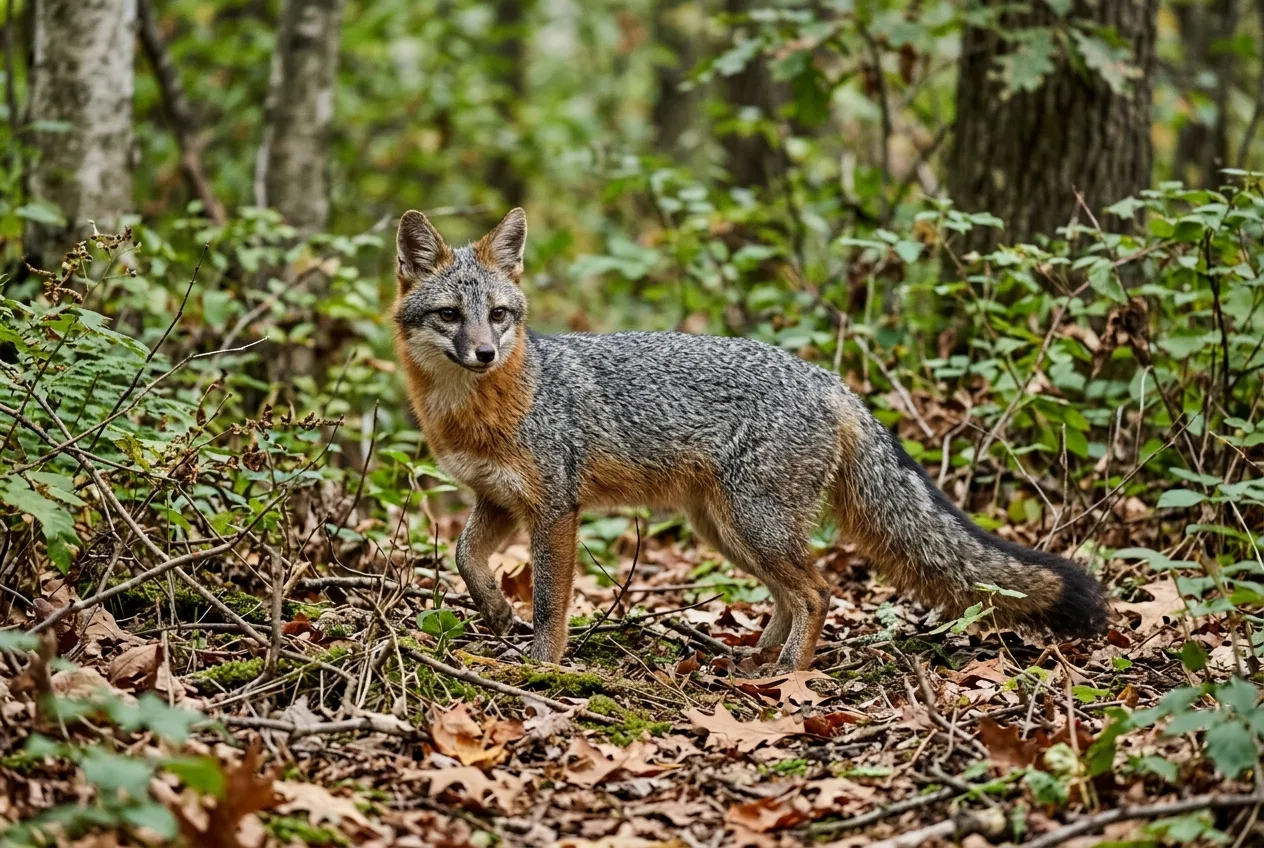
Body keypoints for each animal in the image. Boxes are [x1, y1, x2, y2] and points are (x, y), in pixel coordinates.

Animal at [391, 207, 1110, 672]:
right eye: (451, 315)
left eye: (499, 315)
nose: (484, 353)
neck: (480, 407)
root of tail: (827, 379)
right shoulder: (497, 500)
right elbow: (463, 556)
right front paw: (493, 613)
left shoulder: (554, 508)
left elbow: (549, 603)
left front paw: (539, 666)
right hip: (729, 531)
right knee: (793, 593)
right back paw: (761, 656)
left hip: (752, 525)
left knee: (819, 591)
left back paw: (788, 672)